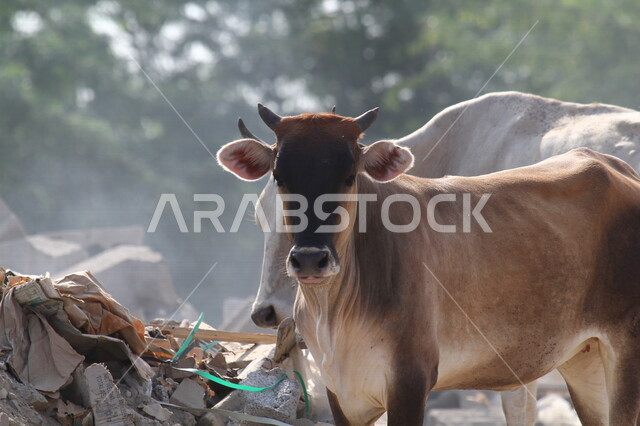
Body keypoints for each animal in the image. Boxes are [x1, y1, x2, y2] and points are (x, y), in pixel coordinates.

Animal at [217, 106, 640, 425]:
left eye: (350, 175)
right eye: (279, 176)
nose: (309, 259)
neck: (334, 310)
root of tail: (613, 165)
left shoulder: (410, 380)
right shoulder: (343, 393)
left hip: (625, 353)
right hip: (585, 360)